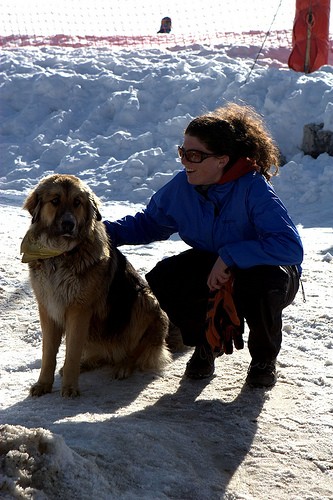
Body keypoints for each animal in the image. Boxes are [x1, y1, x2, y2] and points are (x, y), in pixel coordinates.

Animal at [22, 174, 170, 396]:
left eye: (77, 202)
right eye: (55, 201)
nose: (69, 224)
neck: (61, 254)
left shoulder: (79, 309)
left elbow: (72, 352)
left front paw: (70, 387)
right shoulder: (47, 308)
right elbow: (48, 353)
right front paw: (43, 384)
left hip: (144, 301)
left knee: (137, 350)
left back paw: (124, 365)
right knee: (101, 354)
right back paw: (87, 363)